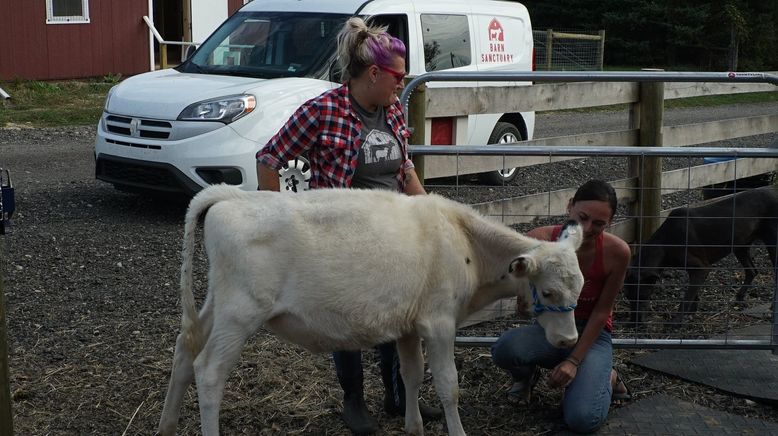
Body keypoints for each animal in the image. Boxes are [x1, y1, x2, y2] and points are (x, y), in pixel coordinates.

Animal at [158, 185, 584, 436]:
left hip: (218, 303)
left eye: (580, 288)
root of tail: (230, 196)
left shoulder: (411, 325)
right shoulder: (440, 322)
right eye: (548, 292)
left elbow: (411, 374)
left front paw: (413, 426)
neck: (463, 240)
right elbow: (448, 385)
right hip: (240, 311)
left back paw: (167, 425)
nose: (569, 339)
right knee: (209, 371)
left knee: (184, 349)